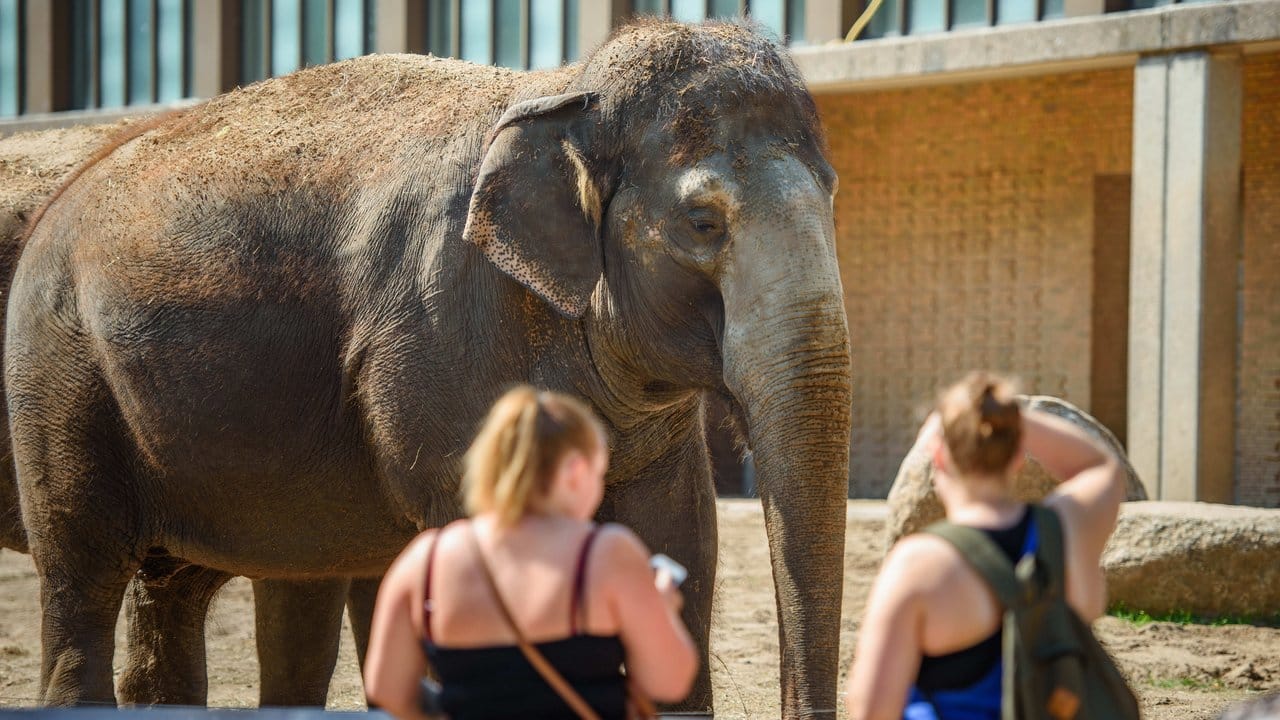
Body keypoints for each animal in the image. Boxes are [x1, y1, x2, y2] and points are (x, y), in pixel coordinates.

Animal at [10, 18, 855, 717]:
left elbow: (678, 534)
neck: (563, 87)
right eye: (703, 222)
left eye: (833, 193)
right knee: (82, 572)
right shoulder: (443, 330)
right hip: (59, 376)